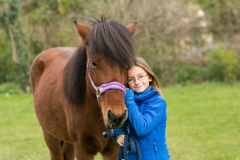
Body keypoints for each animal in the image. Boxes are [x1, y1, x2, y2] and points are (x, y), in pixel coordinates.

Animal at [31, 15, 137, 160]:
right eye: (94, 63)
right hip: (50, 136)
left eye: (127, 64)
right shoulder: (82, 149)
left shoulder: (113, 150)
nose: (117, 116)